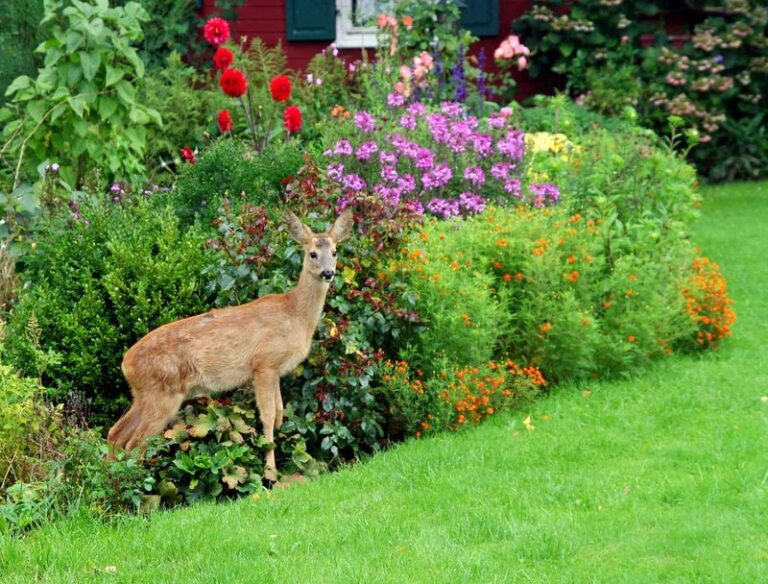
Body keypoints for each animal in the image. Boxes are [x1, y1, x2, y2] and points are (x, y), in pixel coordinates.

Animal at [107, 208, 353, 482]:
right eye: (312, 253)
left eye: (335, 252)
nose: (328, 273)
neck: (295, 314)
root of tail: (125, 363)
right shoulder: (264, 363)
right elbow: (268, 416)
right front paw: (270, 473)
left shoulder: (275, 371)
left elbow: (280, 413)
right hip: (162, 394)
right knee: (136, 441)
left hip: (143, 394)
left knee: (116, 434)